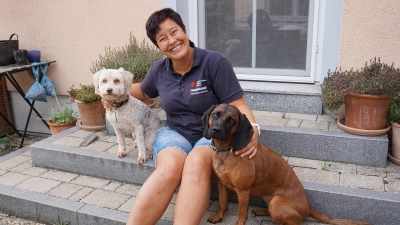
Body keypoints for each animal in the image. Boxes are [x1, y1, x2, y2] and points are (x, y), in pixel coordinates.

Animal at [202, 104, 370, 225]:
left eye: (232, 120)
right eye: (216, 114)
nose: (215, 130)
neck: (226, 151)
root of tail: (308, 207)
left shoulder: (243, 192)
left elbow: (241, 215)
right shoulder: (222, 184)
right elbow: (222, 203)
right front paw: (218, 216)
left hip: (276, 203)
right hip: (271, 200)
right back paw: (262, 211)